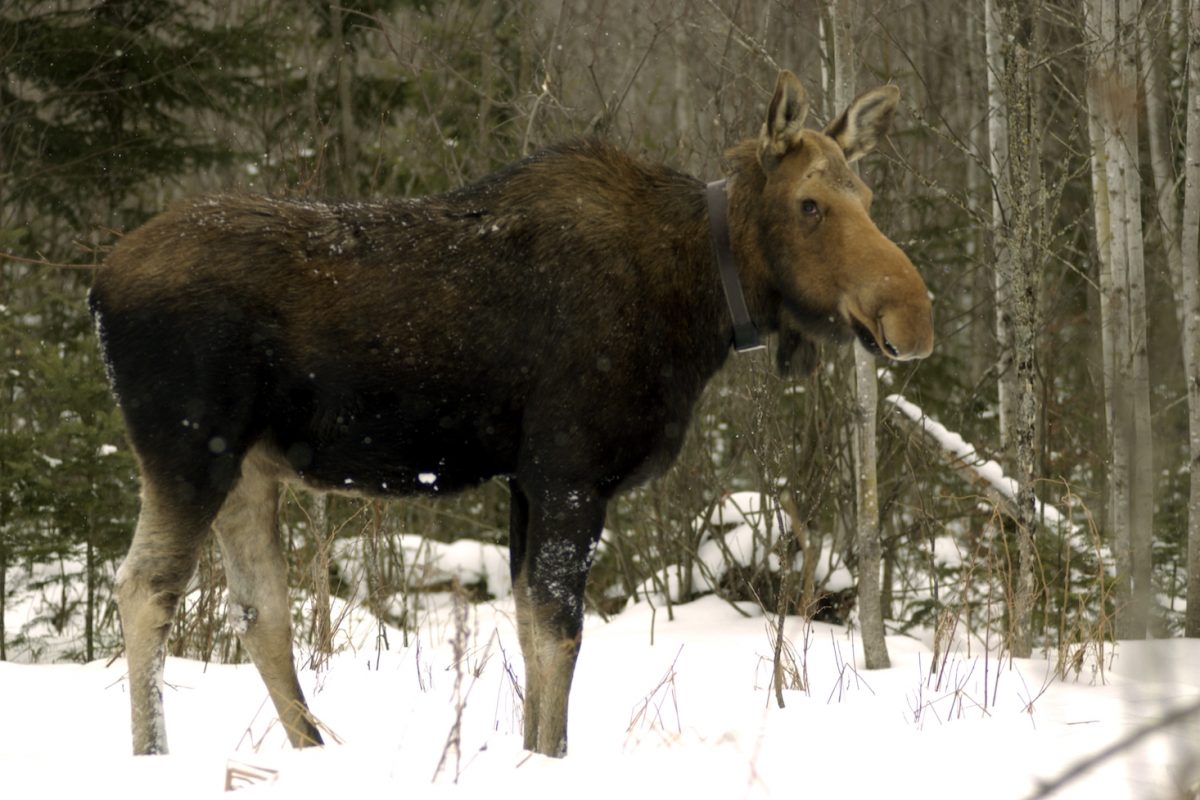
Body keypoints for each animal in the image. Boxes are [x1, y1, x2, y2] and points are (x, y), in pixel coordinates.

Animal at [91, 71, 936, 762]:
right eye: (810, 203)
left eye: (866, 198)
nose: (911, 314)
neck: (702, 306)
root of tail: (98, 285)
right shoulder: (570, 470)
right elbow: (560, 633)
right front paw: (549, 758)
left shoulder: (528, 482)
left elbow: (531, 630)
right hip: (189, 452)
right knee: (145, 588)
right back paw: (152, 754)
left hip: (249, 470)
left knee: (258, 607)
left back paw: (311, 750)